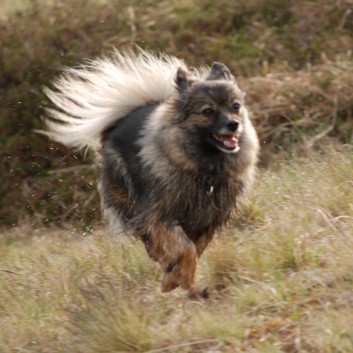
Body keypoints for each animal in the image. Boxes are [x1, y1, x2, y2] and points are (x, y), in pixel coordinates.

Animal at [43, 48, 258, 296]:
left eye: (235, 106)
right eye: (208, 111)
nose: (233, 124)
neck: (204, 169)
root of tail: (125, 116)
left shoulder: (207, 221)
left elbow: (193, 250)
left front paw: (178, 278)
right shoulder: (158, 217)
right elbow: (185, 250)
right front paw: (177, 280)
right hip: (132, 203)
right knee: (152, 246)